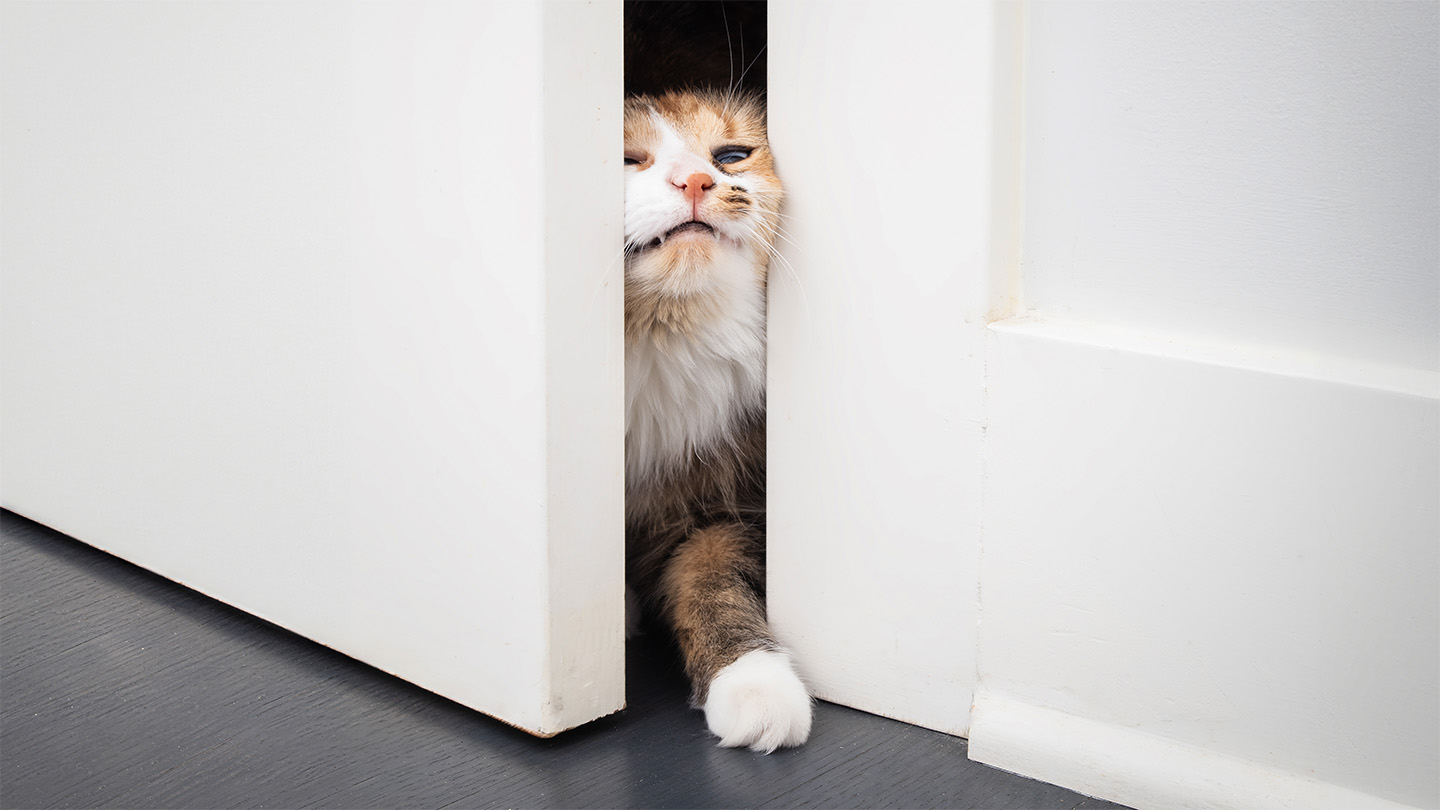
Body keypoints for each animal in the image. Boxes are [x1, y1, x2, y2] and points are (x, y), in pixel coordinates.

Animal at [627, 88, 817, 749]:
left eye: (731, 155)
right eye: (626, 158)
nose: (695, 180)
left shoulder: (715, 513)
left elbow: (711, 588)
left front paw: (756, 687)